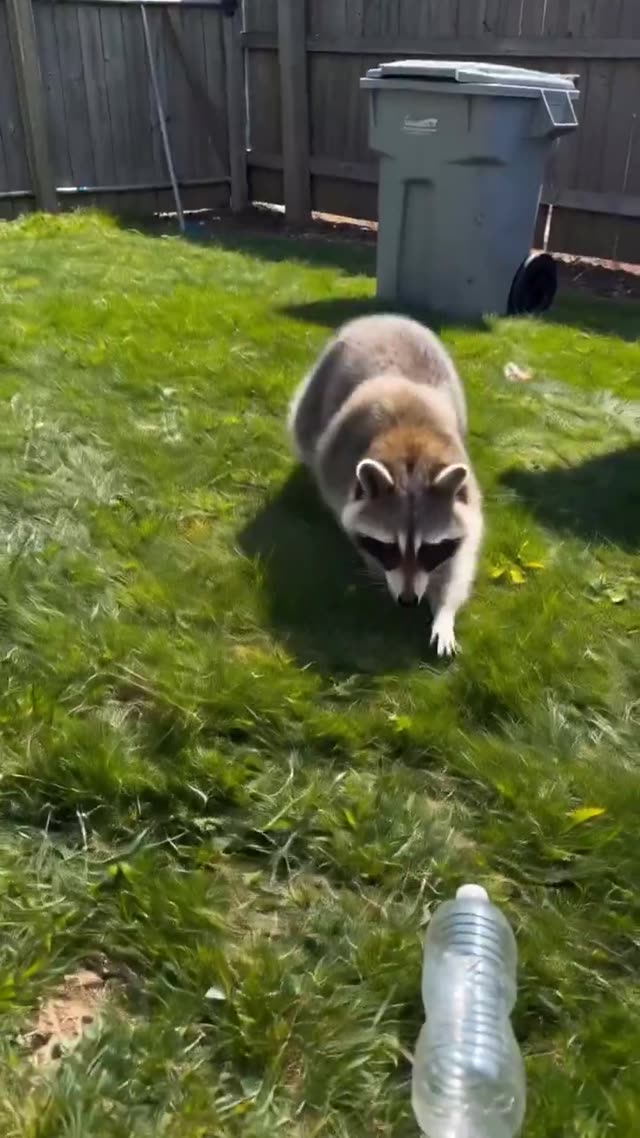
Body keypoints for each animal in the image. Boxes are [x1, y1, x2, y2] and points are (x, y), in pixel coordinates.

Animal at [288, 314, 483, 657]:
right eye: (389, 547)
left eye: (430, 549)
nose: (407, 601)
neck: (412, 455)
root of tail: (384, 317)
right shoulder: (338, 472)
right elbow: (349, 524)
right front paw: (375, 566)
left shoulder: (465, 496)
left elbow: (460, 561)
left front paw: (445, 613)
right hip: (314, 395)